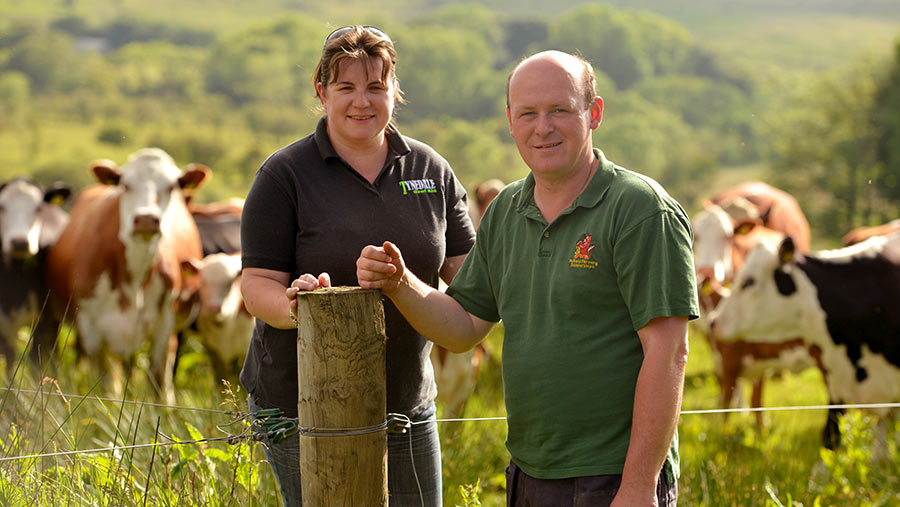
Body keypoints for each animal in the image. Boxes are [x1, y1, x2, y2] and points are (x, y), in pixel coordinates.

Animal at [0, 178, 70, 374]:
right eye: (1, 207)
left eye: (38, 208)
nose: (19, 242)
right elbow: (10, 363)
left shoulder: (44, 321)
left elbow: (34, 361)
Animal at [47, 149, 207, 402]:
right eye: (125, 184)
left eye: (171, 186)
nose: (146, 219)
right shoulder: (92, 328)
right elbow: (105, 385)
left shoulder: (164, 323)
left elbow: (158, 380)